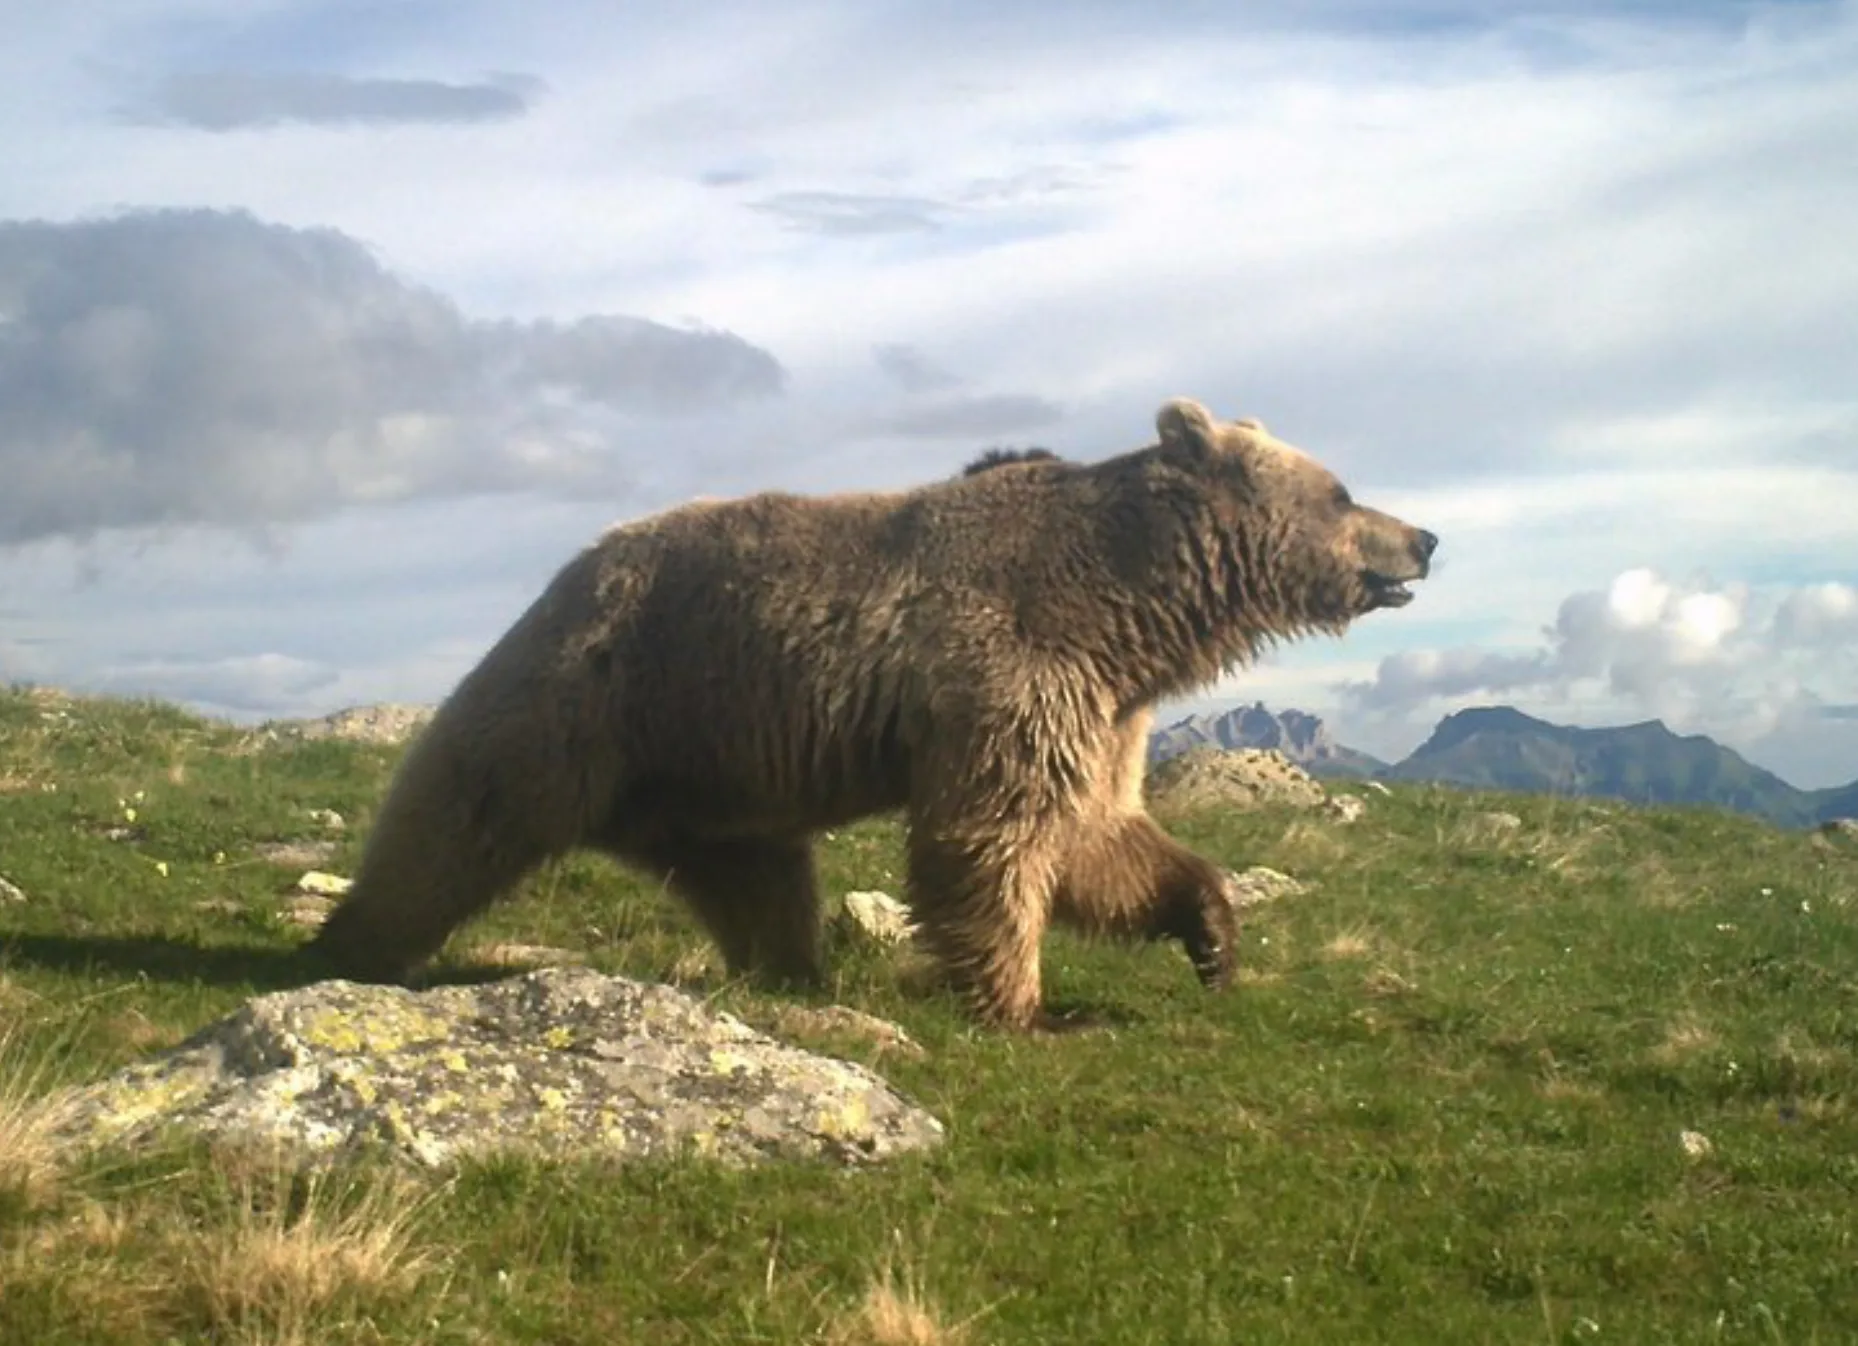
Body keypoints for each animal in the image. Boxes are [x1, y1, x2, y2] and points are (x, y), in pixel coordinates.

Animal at [306, 396, 1438, 1032]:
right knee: (461, 811)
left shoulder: (1104, 707)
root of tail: (572, 569)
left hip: (718, 773)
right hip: (592, 692)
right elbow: (991, 839)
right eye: (1343, 491)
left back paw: (793, 971)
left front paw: (1212, 938)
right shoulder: (1008, 664)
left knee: (761, 879)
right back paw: (348, 940)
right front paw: (1028, 1006)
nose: (1424, 537)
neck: (1130, 614)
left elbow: (1095, 833)